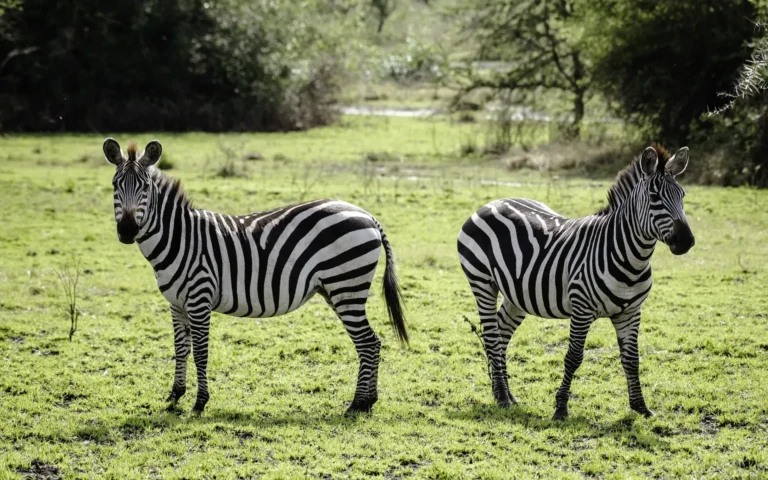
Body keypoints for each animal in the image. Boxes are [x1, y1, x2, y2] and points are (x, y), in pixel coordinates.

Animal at [103, 138, 408, 415]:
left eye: (144, 187)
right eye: (115, 186)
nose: (127, 231)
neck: (180, 238)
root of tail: (367, 215)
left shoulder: (199, 298)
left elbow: (200, 352)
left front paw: (200, 403)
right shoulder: (176, 304)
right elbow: (181, 349)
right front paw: (175, 395)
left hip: (347, 287)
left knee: (367, 342)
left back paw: (358, 404)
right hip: (336, 290)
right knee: (371, 343)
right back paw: (368, 401)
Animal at [457, 145, 695, 420]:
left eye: (682, 195)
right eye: (654, 197)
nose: (686, 241)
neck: (629, 258)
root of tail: (492, 202)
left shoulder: (631, 312)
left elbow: (632, 359)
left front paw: (640, 407)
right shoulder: (581, 309)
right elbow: (574, 357)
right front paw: (560, 408)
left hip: (517, 294)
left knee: (501, 332)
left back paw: (505, 394)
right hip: (482, 282)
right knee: (492, 335)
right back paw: (503, 397)